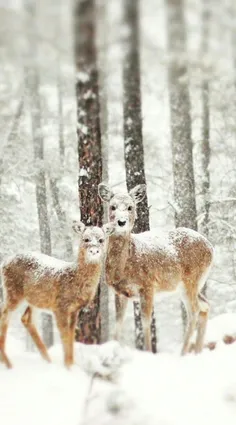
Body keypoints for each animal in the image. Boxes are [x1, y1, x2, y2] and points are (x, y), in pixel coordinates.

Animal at [0, 220, 114, 370]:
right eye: (86, 239)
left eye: (101, 240)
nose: (94, 250)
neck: (74, 278)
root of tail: (4, 263)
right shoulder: (60, 306)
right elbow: (64, 334)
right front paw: (68, 367)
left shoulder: (74, 309)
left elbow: (71, 334)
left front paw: (71, 364)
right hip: (13, 291)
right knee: (4, 315)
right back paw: (7, 363)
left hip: (35, 299)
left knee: (26, 319)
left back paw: (47, 360)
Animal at [97, 182, 214, 354]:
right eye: (112, 206)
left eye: (130, 207)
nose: (121, 221)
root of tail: (211, 247)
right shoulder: (119, 292)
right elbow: (118, 324)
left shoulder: (148, 285)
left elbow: (146, 321)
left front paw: (148, 352)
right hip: (189, 285)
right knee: (205, 306)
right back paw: (197, 352)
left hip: (191, 279)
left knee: (194, 311)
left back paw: (183, 353)